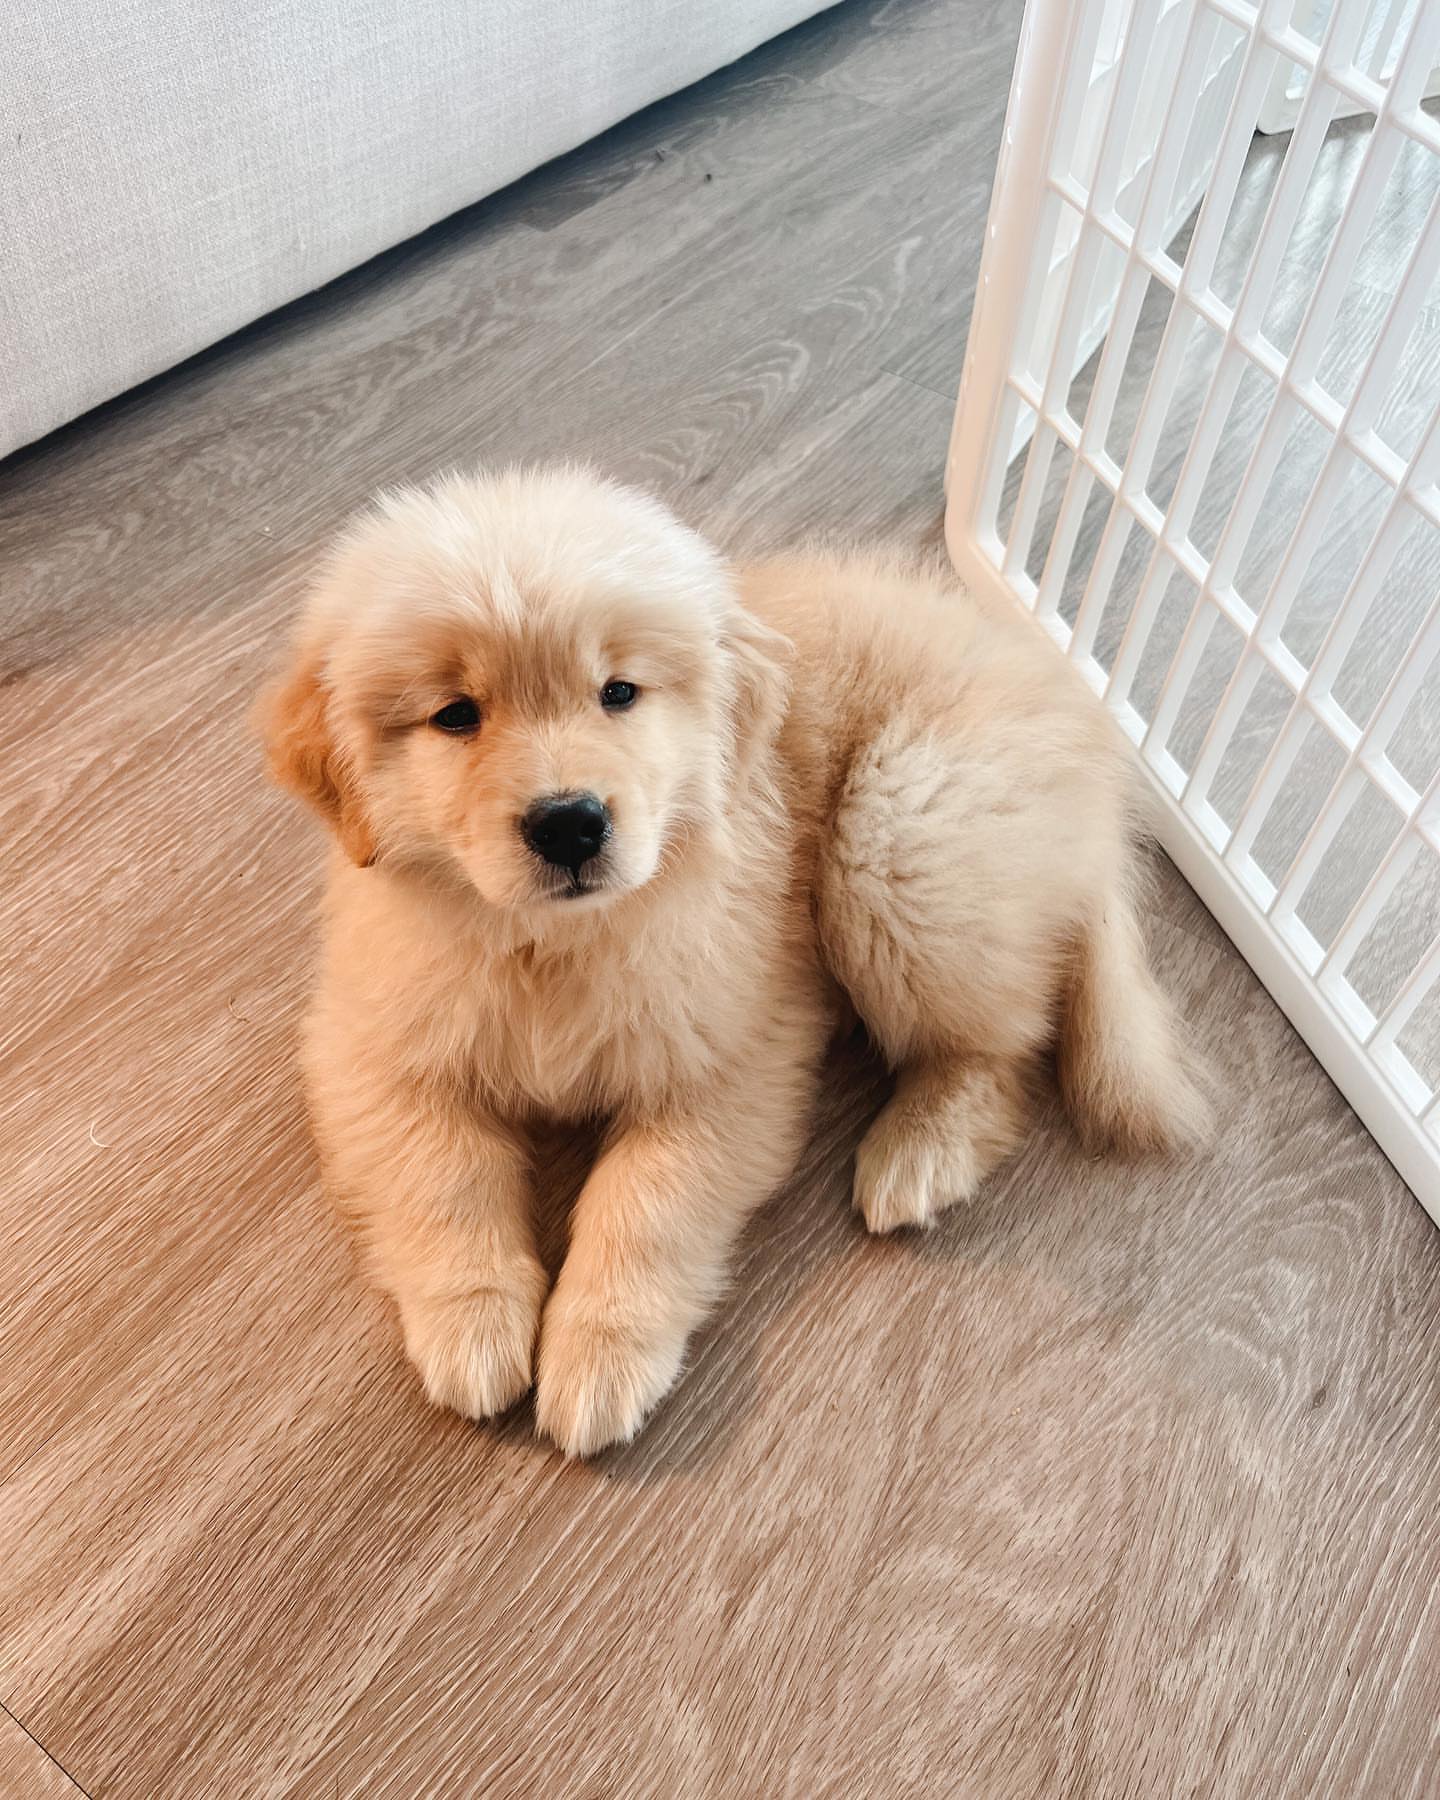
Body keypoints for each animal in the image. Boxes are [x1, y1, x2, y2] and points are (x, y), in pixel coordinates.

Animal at [261, 466, 1206, 1456]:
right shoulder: (377, 1046)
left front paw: (601, 1353)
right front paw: (472, 1327)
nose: (570, 824)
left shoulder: (733, 1057)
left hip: (905, 836)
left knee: (1007, 1041)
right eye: (455, 716)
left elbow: (646, 1205)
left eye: (619, 692)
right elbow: (440, 1178)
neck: (554, 942)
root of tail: (1087, 743)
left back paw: (920, 1152)